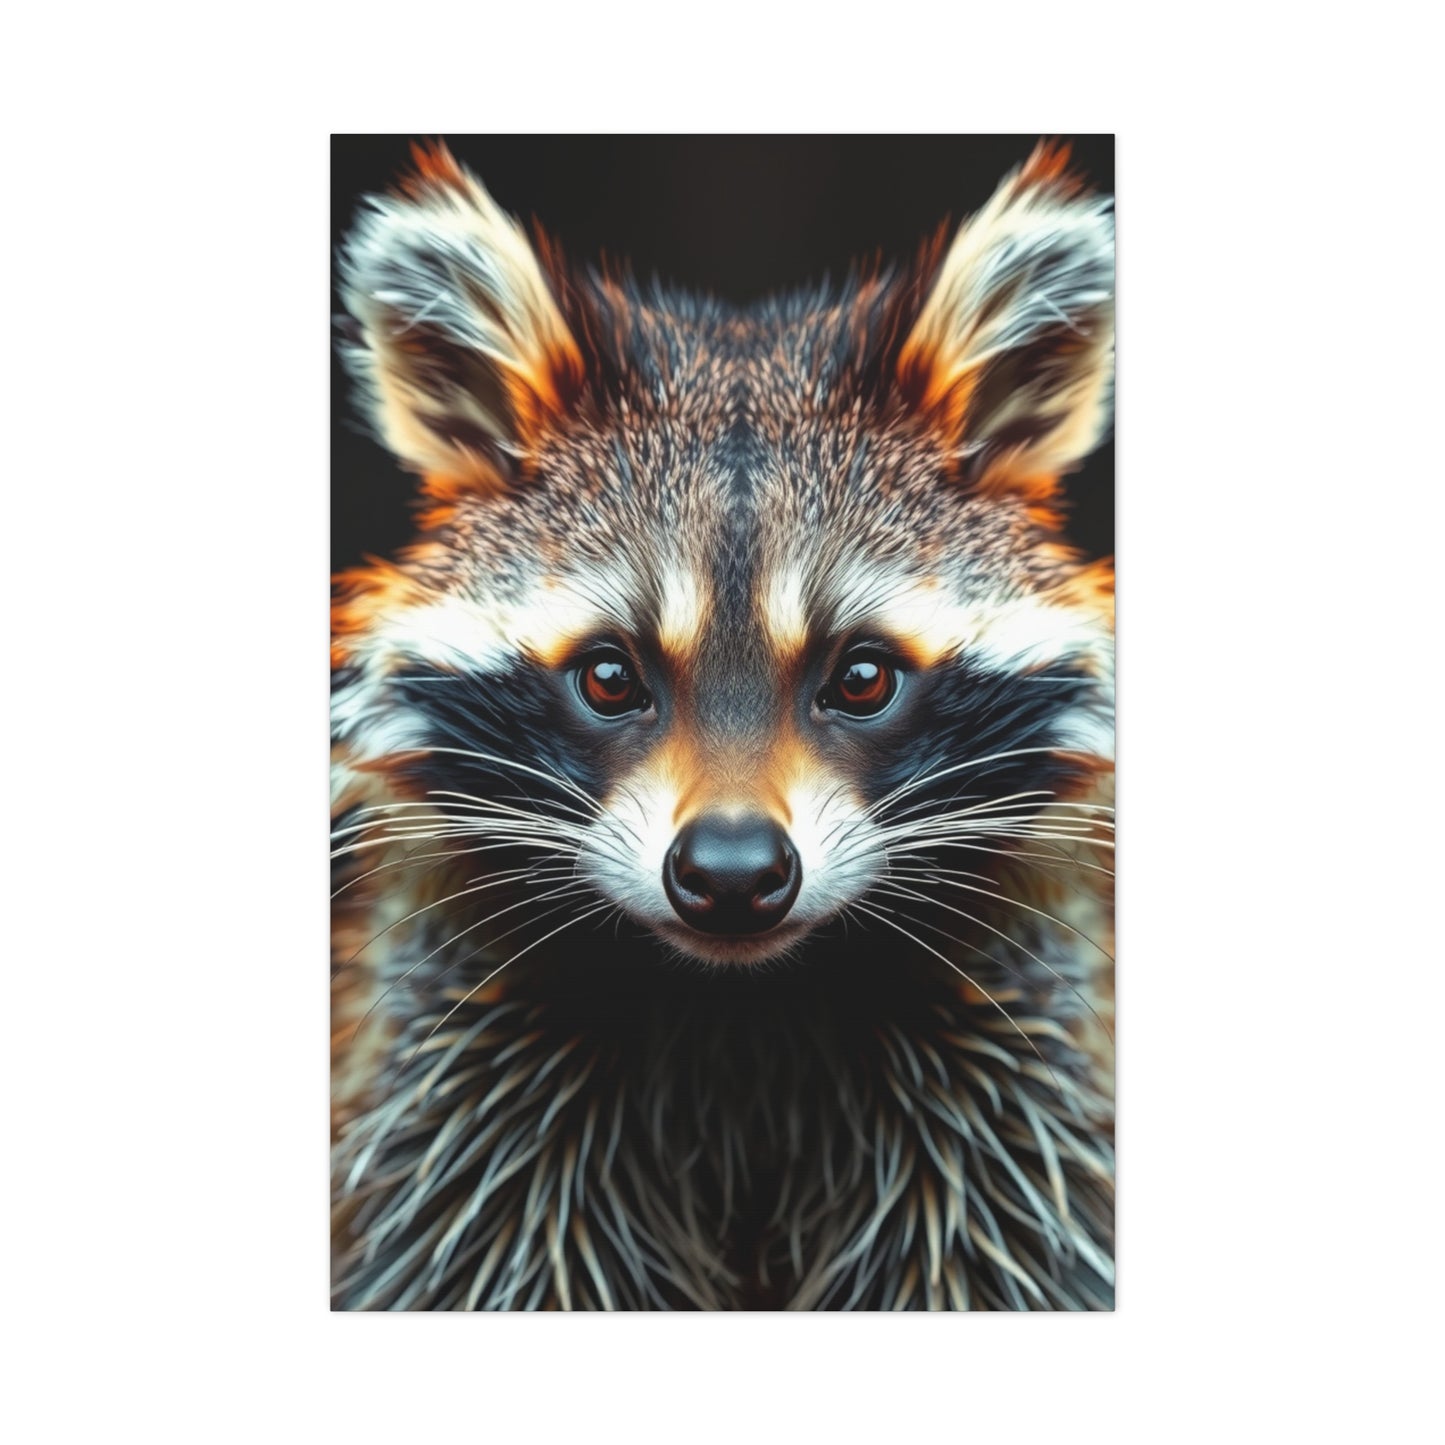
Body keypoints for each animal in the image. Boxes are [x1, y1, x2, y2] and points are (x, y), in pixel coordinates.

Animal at [331, 140, 1115, 1310]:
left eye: (862, 677)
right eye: (609, 676)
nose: (734, 872)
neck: (740, 1017)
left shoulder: (1009, 1074)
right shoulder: (463, 1076)